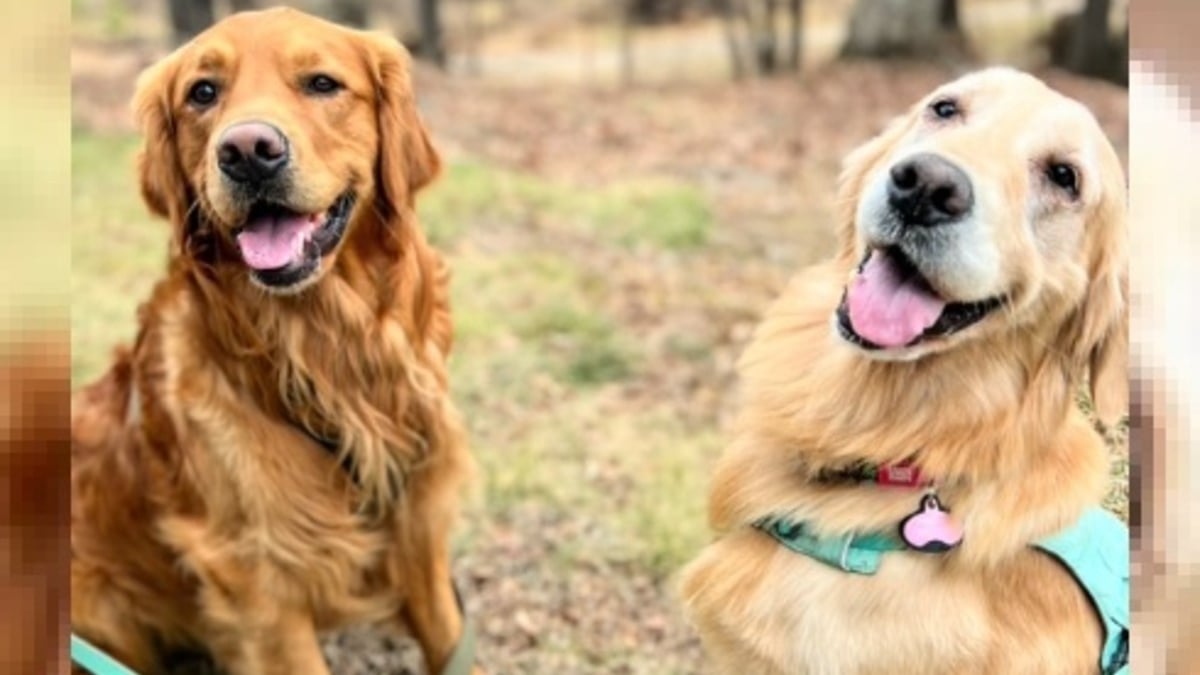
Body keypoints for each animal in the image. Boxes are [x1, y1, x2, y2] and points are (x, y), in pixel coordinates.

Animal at [70, 9, 477, 672]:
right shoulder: (256, 578)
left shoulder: (415, 518)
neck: (323, 346)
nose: (247, 152)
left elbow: (447, 632)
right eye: (202, 93)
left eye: (322, 83)